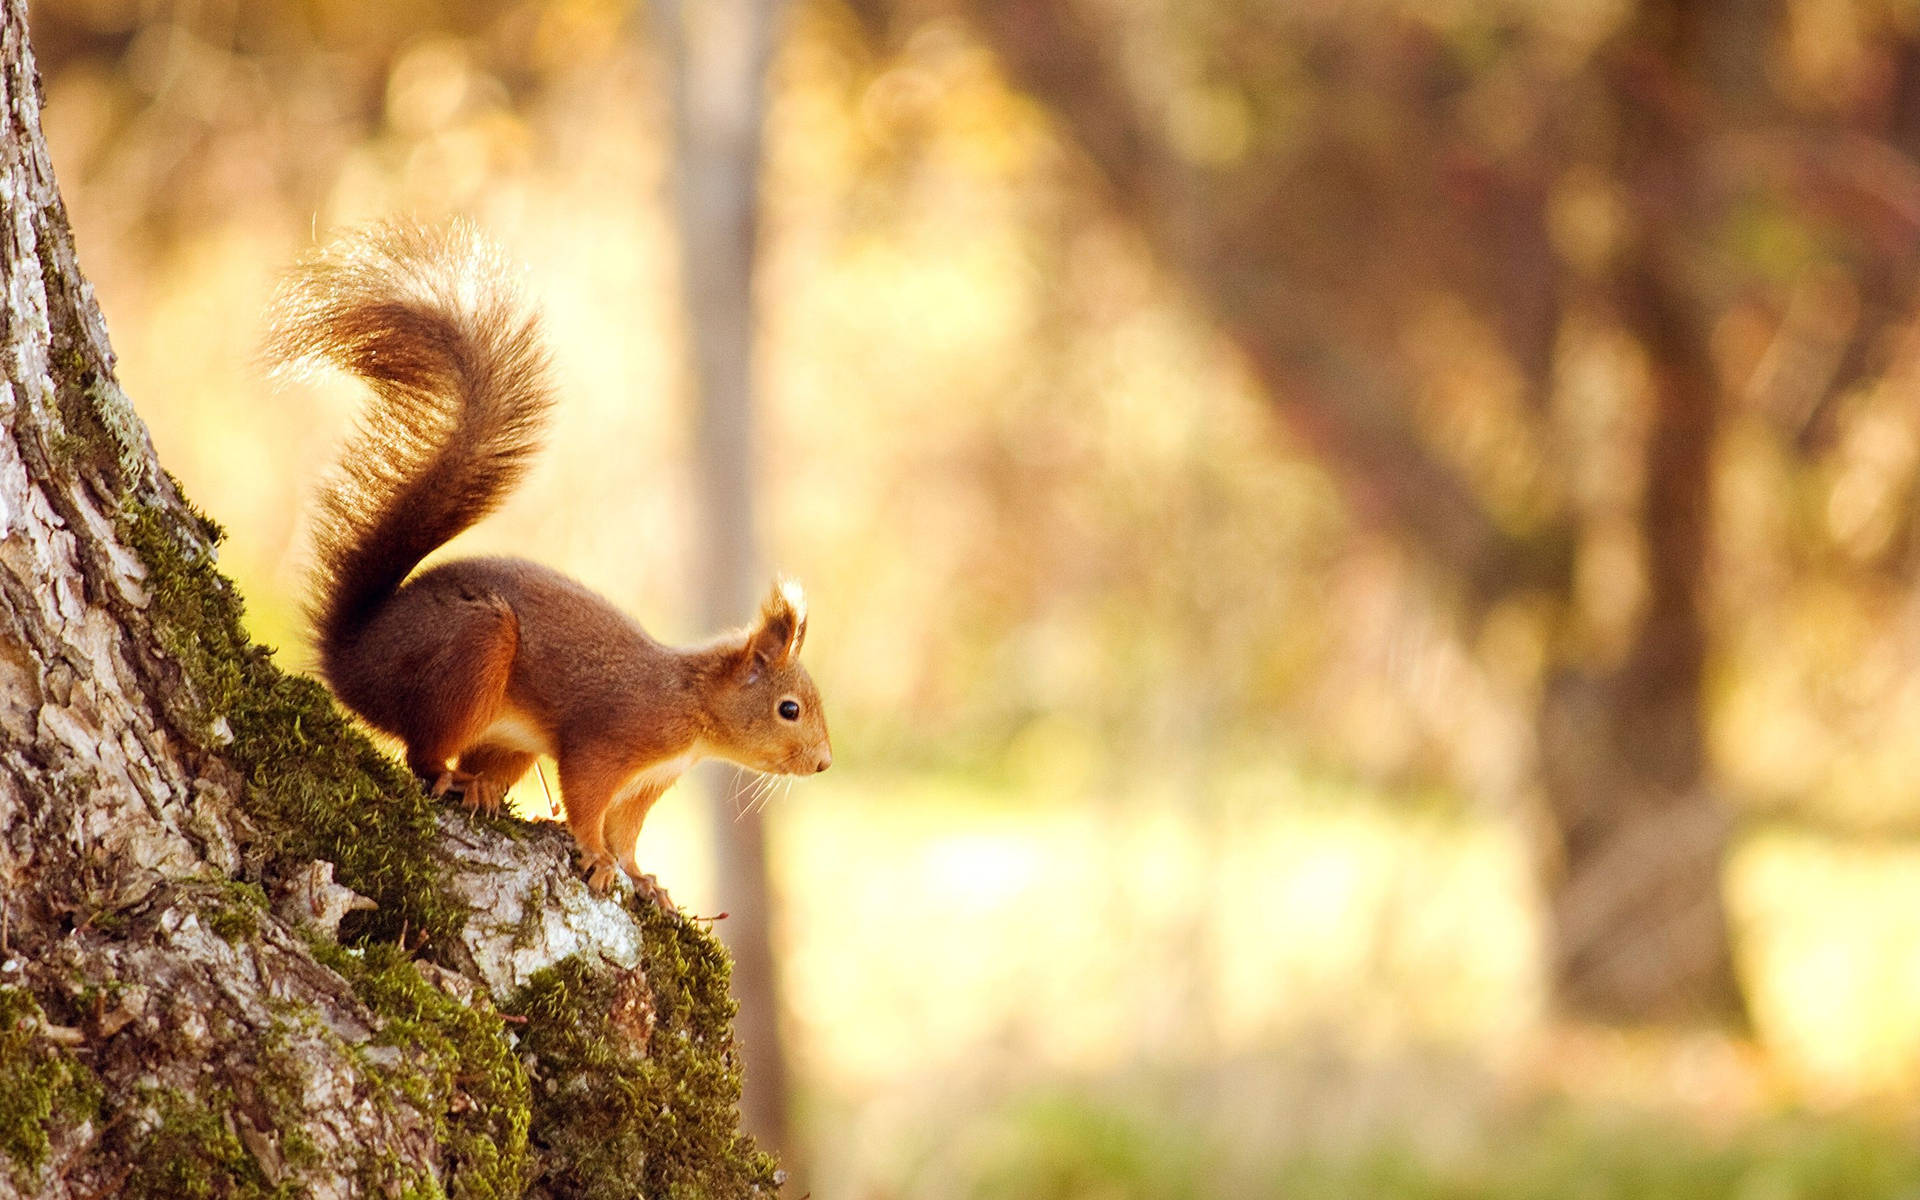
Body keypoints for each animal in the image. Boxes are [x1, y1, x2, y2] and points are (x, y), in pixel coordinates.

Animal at [272, 222, 833, 898]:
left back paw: (484, 787)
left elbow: (628, 831)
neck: (692, 706)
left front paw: (643, 878)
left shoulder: (649, 781)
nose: (825, 763)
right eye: (789, 709)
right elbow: (588, 802)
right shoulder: (610, 740)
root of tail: (352, 657)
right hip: (471, 651)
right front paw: (596, 857)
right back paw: (455, 778)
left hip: (508, 734)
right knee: (422, 754)